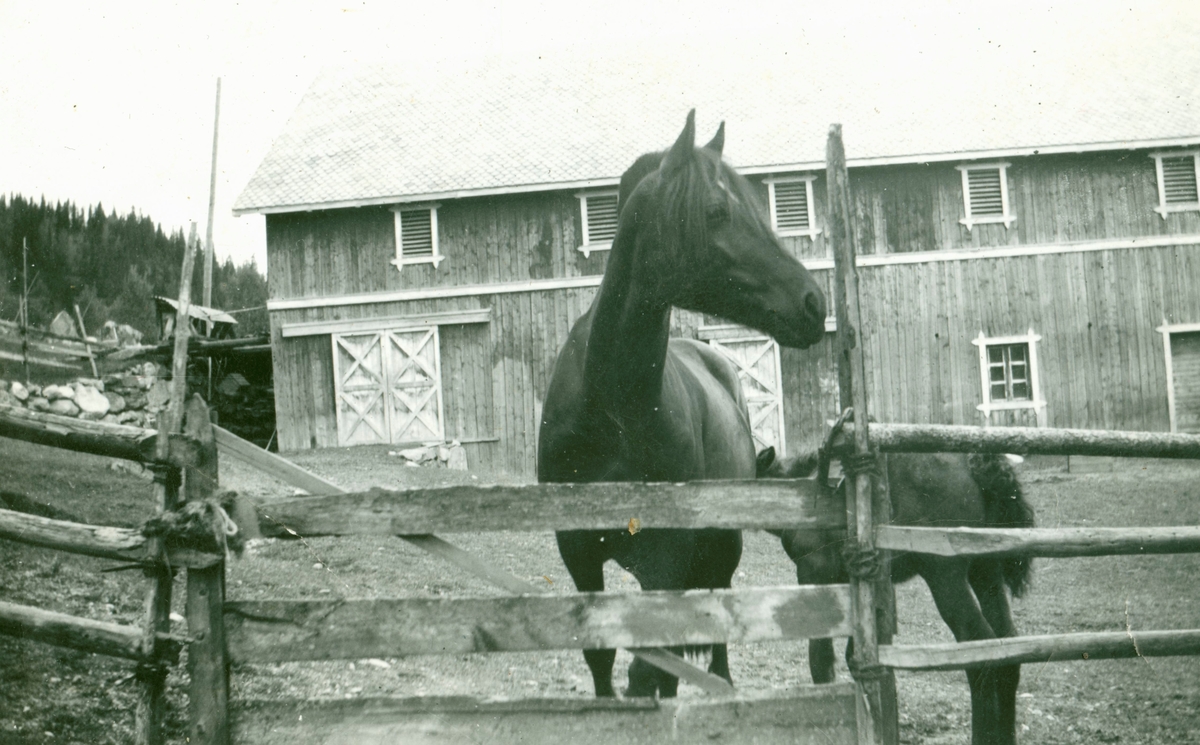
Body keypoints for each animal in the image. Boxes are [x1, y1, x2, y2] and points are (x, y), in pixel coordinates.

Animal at [540, 111, 830, 695]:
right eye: (716, 211)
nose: (813, 302)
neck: (612, 409)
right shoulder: (577, 551)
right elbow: (603, 659)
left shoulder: (667, 558)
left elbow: (650, 667)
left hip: (721, 547)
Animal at [758, 446, 1032, 743]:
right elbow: (854, 654)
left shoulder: (813, 575)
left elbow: (820, 659)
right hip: (986, 573)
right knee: (1008, 648)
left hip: (946, 578)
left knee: (981, 654)